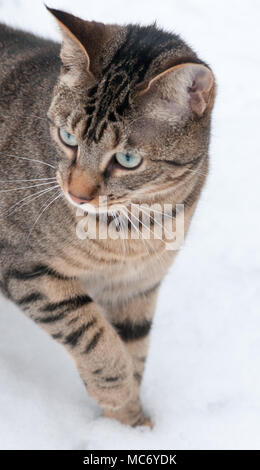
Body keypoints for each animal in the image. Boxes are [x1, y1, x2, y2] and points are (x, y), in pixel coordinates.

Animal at [0, 5, 215, 428]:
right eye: (67, 137)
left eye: (128, 159)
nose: (77, 193)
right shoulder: (26, 268)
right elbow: (96, 340)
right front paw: (117, 397)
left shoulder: (137, 286)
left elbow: (134, 347)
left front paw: (130, 425)